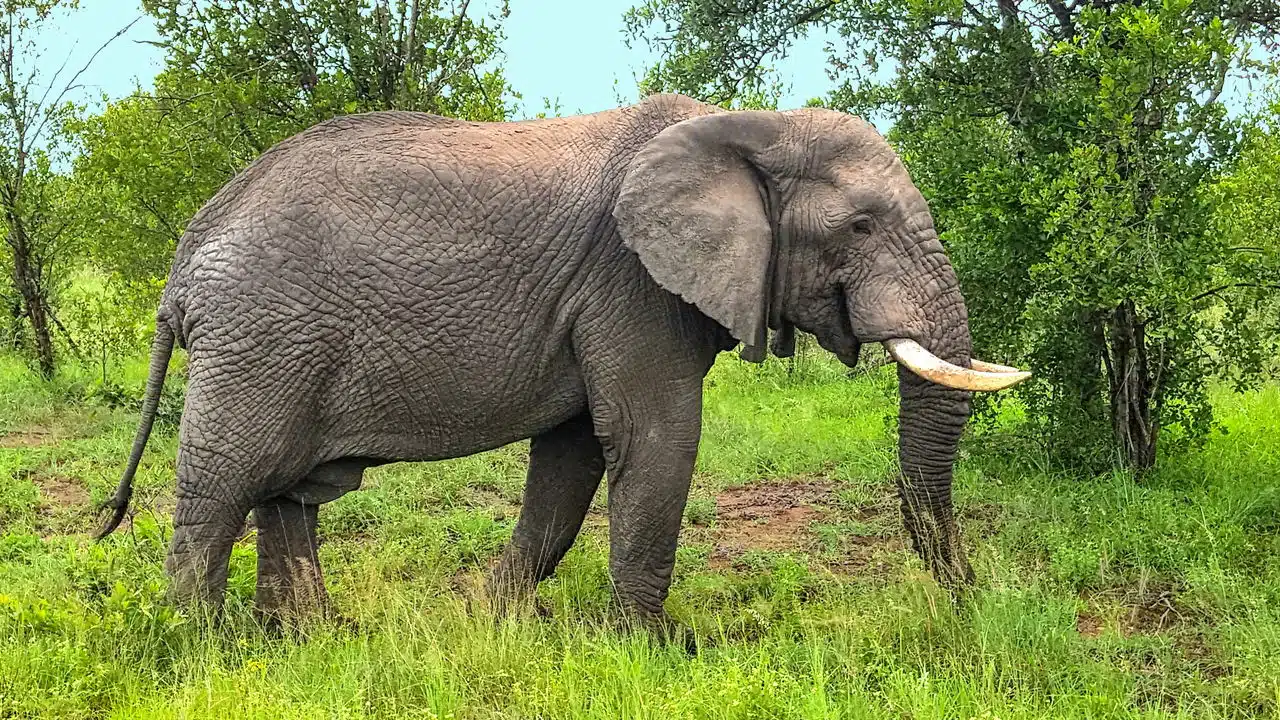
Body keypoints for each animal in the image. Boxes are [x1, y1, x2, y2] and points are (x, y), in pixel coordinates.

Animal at [92, 92, 1029, 635]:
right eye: (862, 226)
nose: (968, 599)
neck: (748, 124)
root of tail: (187, 256)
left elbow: (572, 459)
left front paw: (491, 623)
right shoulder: (630, 282)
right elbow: (654, 440)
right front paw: (655, 649)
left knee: (287, 490)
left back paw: (308, 643)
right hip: (261, 337)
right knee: (225, 483)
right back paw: (201, 649)